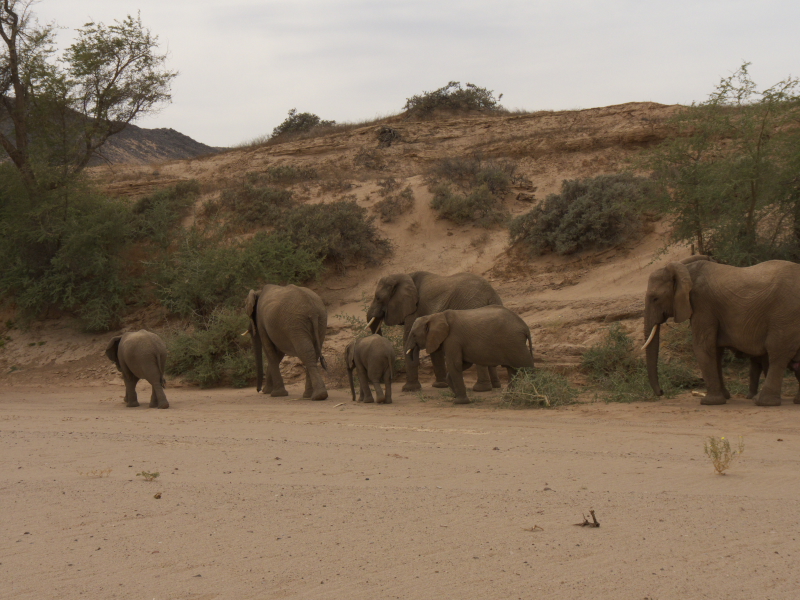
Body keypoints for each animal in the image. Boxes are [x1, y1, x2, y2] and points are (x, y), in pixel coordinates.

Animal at [366, 271, 503, 392]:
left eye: (378, 298)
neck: (406, 276)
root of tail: (490, 295)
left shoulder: (415, 309)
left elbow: (408, 341)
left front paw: (409, 389)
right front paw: (441, 385)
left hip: (472, 308)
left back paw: (481, 389)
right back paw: (495, 386)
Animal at [404, 306, 534, 404]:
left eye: (414, 335)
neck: (436, 316)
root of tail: (525, 327)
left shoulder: (453, 339)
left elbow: (454, 365)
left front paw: (459, 402)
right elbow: (463, 364)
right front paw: (456, 396)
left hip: (515, 343)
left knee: (527, 367)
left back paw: (533, 396)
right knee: (512, 370)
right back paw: (510, 399)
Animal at [643, 255, 800, 406]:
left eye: (655, 298)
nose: (661, 392)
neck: (687, 270)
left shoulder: (703, 304)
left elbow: (703, 346)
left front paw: (710, 402)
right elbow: (716, 350)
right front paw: (725, 397)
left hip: (785, 315)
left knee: (776, 351)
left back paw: (763, 402)